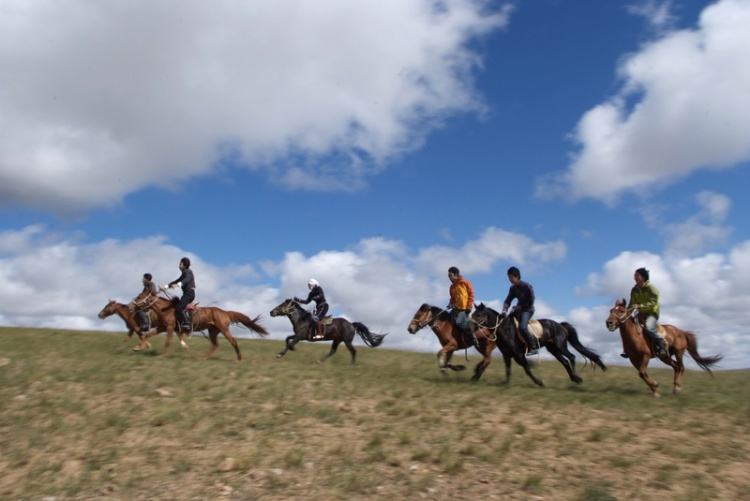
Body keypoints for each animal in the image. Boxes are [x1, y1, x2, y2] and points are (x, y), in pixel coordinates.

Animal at [472, 300, 608, 386]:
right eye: (473, 314)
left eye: (478, 315)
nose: (470, 326)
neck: (505, 329)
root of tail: (560, 325)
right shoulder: (507, 355)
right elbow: (508, 370)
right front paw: (505, 383)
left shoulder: (519, 355)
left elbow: (527, 369)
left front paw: (539, 382)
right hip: (553, 349)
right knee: (565, 361)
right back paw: (574, 378)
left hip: (560, 346)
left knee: (571, 357)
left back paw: (576, 377)